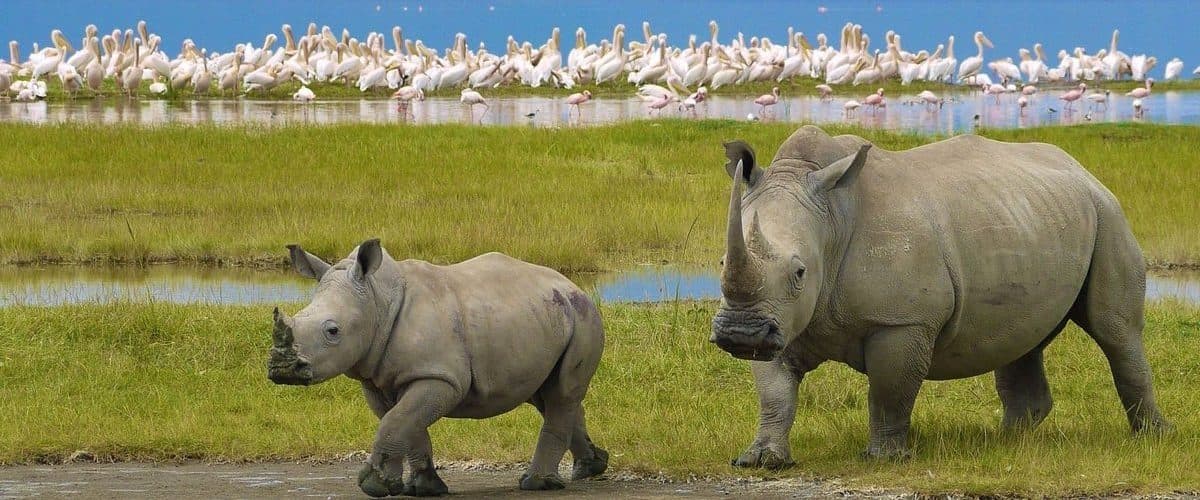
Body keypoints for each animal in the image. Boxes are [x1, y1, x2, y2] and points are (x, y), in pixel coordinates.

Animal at [268, 239, 608, 496]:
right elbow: (405, 423)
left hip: (583, 317)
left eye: (333, 331)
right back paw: (590, 467)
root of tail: (571, 284)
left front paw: (374, 486)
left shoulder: (440, 377)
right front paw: (422, 488)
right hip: (546, 316)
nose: (282, 370)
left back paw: (536, 483)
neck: (377, 301)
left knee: (561, 393)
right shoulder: (380, 380)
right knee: (548, 395)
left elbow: (397, 421)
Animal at [710, 126, 1170, 465]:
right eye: (721, 262)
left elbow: (889, 392)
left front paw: (885, 458)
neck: (832, 221)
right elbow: (774, 391)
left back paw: (1153, 437)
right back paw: (1007, 440)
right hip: (1033, 216)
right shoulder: (781, 319)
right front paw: (761, 460)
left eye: (800, 272)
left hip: (1109, 215)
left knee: (1115, 332)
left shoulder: (902, 321)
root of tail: (1082, 169)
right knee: (1025, 336)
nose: (740, 334)